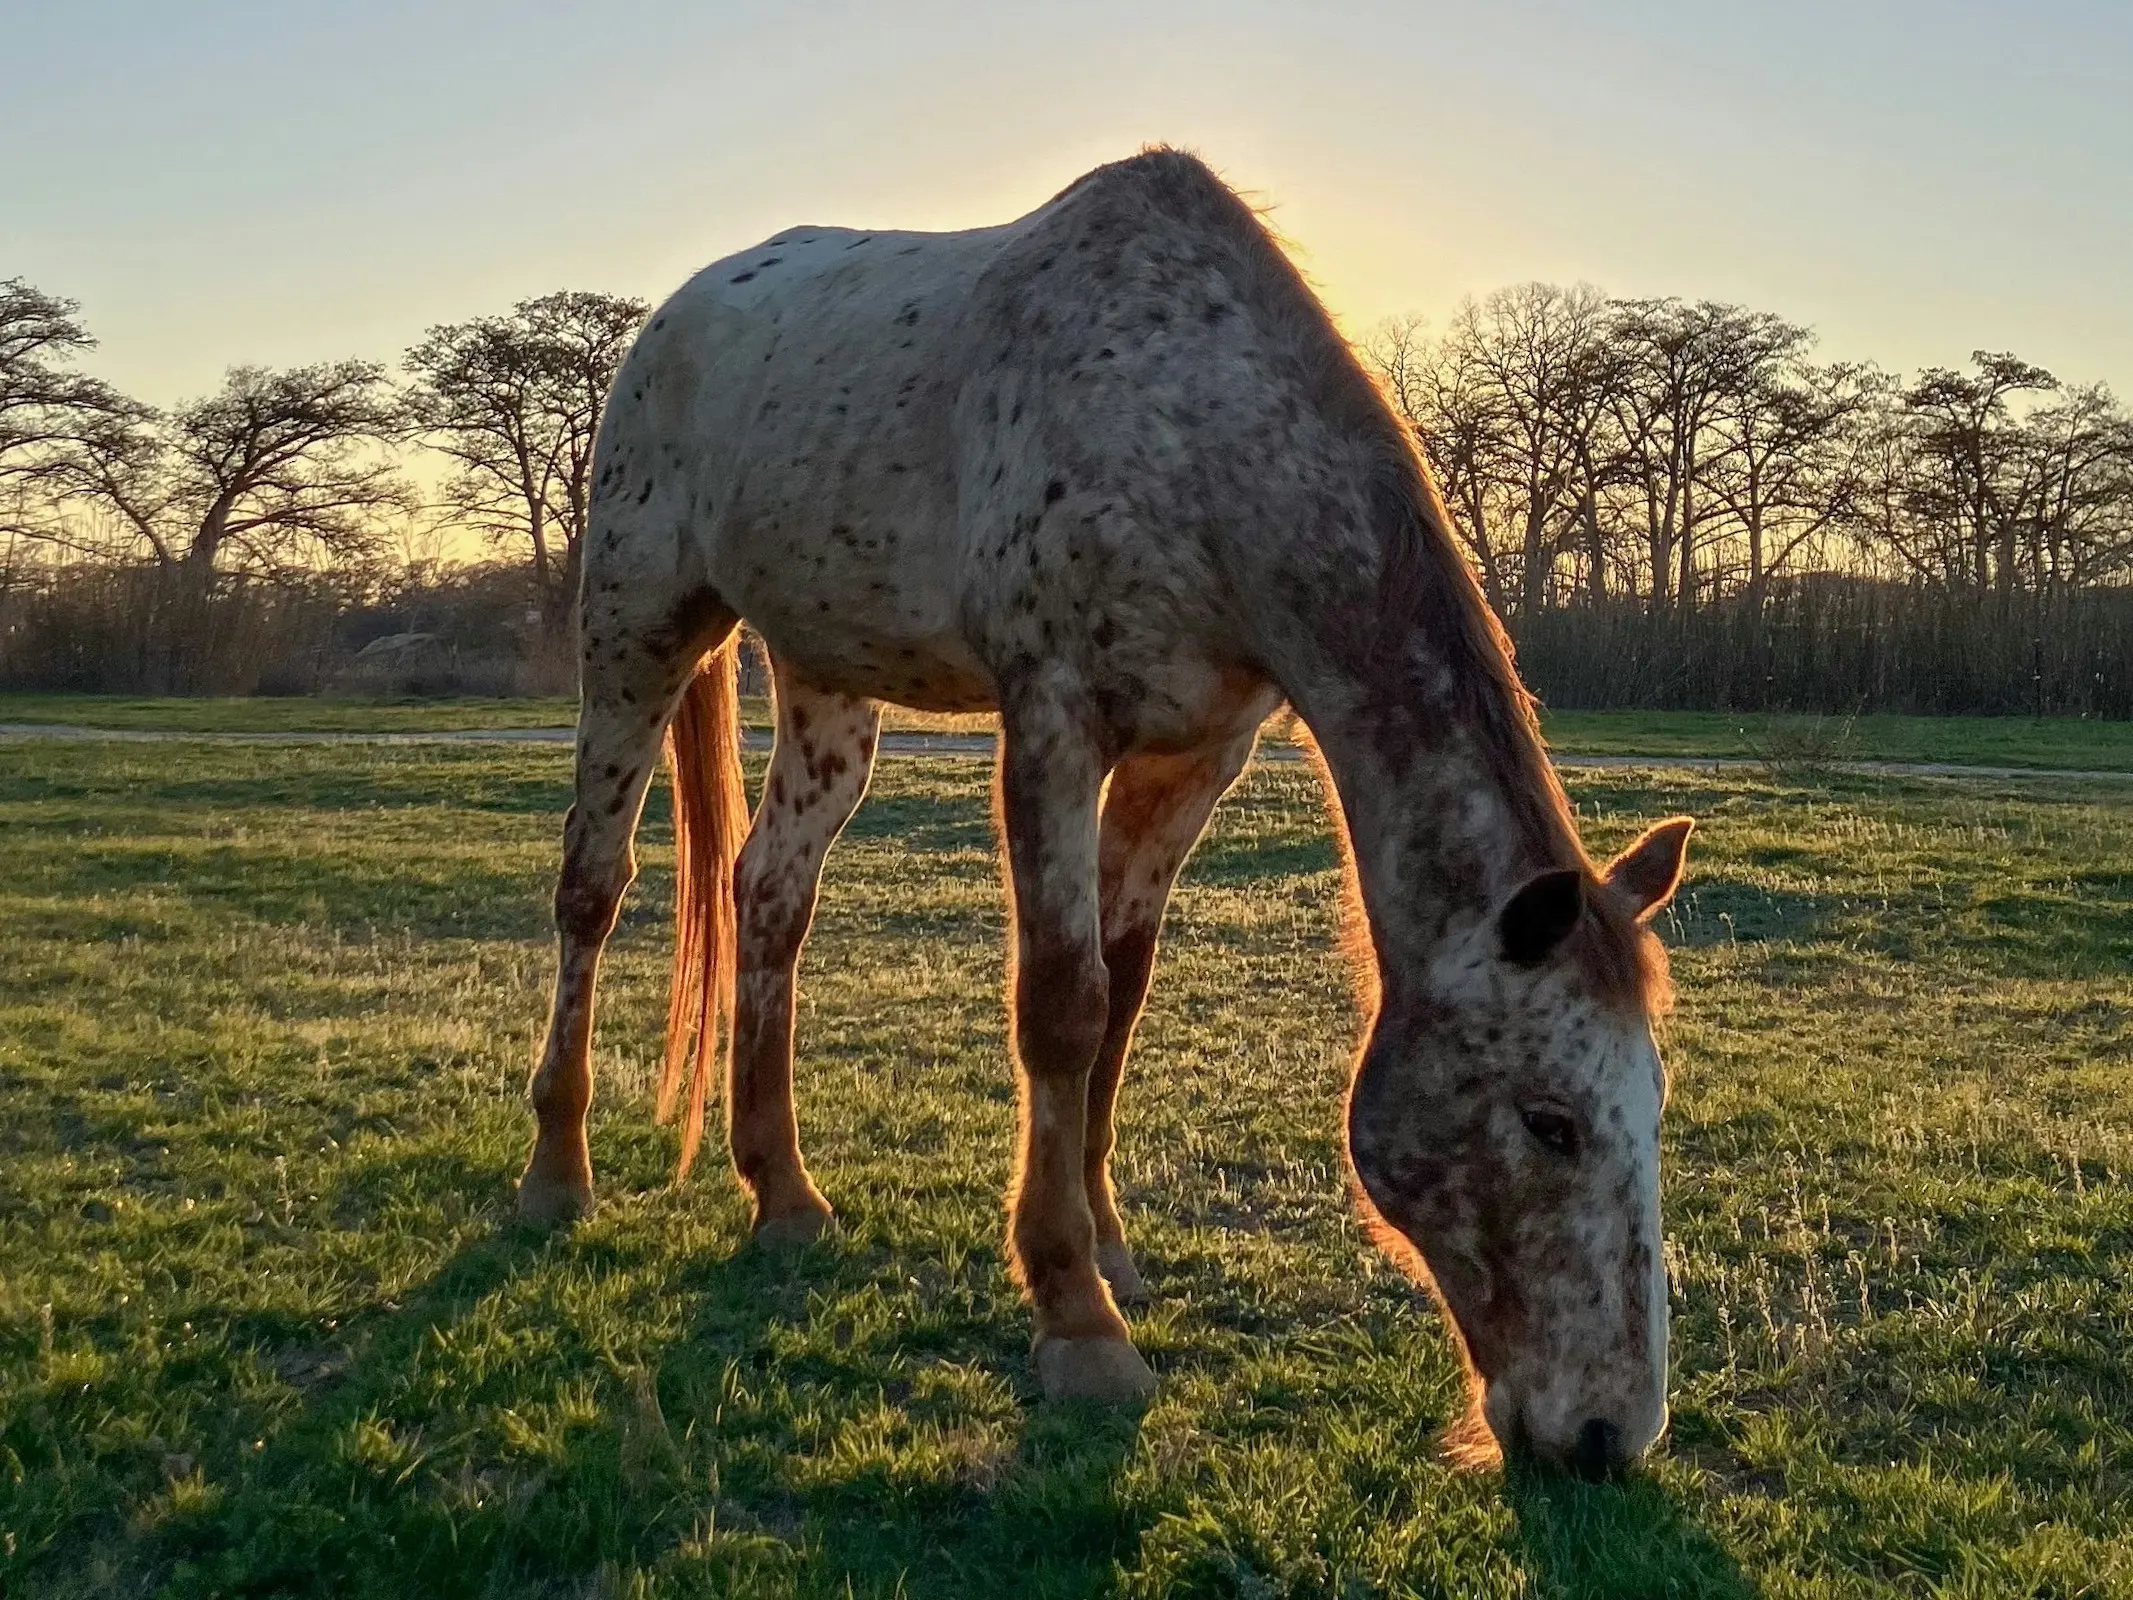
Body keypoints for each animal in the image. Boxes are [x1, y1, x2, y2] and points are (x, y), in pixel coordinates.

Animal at [507, 147, 1689, 1476]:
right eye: (1550, 1122)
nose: (1610, 1433)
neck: (1198, 428)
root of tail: (675, 313)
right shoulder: (1055, 723)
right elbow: (1061, 1006)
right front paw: (1076, 1314)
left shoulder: (1195, 758)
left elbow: (1122, 993)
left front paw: (1109, 1243)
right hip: (637, 627)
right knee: (592, 888)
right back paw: (556, 1167)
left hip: (826, 680)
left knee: (769, 895)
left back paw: (785, 1193)